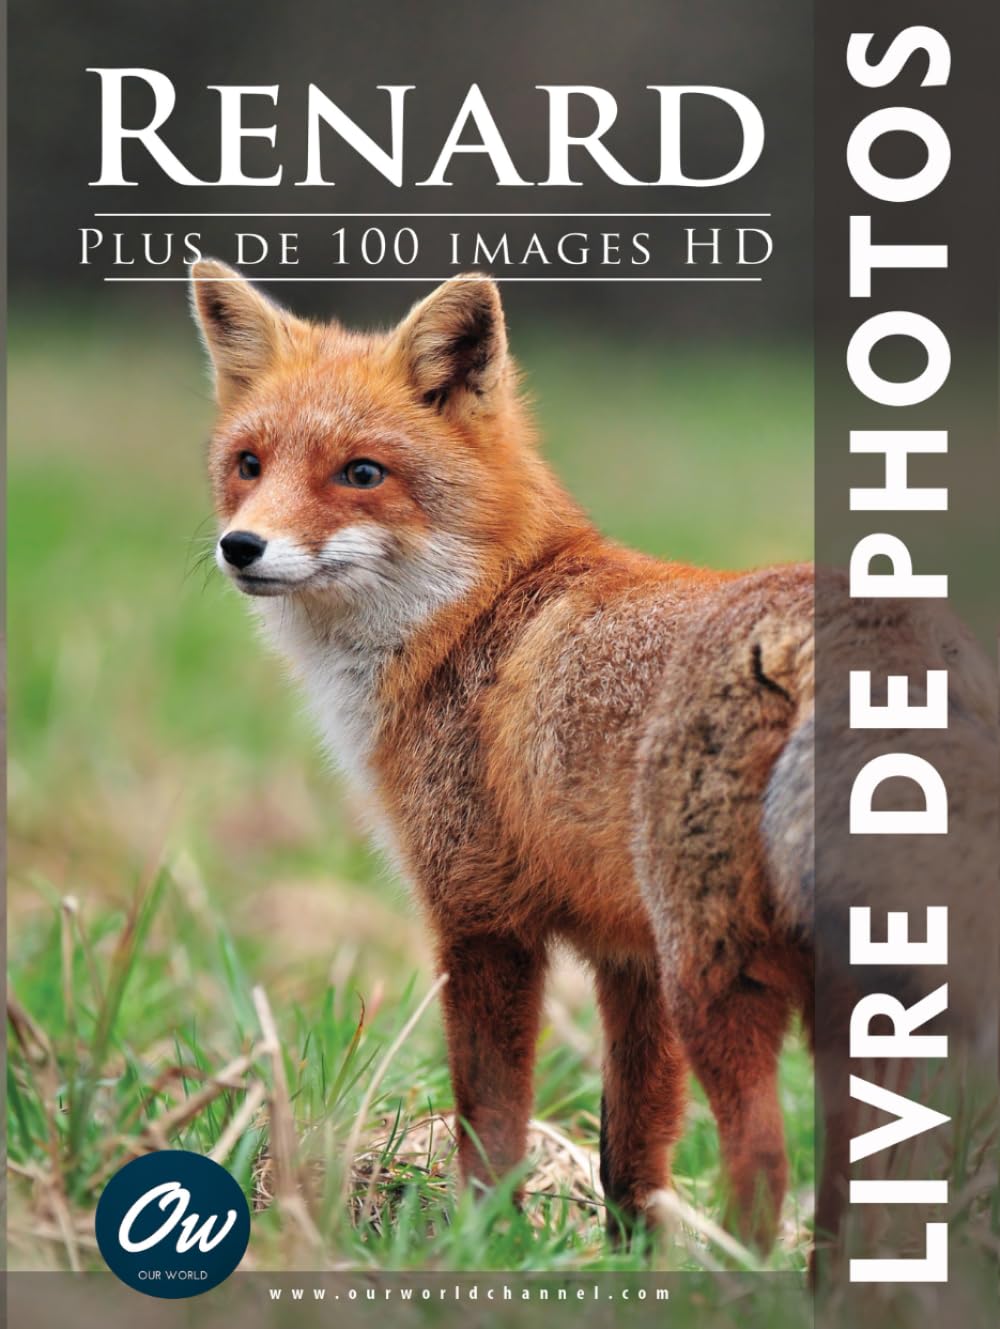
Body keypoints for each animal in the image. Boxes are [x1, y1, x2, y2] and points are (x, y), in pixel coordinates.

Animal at [189, 260, 996, 1258]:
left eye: (362, 473)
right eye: (248, 464)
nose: (242, 546)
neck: (478, 614)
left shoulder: (482, 918)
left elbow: (492, 1123)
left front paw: (485, 1245)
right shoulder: (629, 956)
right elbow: (630, 1154)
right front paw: (629, 1261)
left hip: (719, 976)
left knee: (764, 1163)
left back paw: (738, 1279)